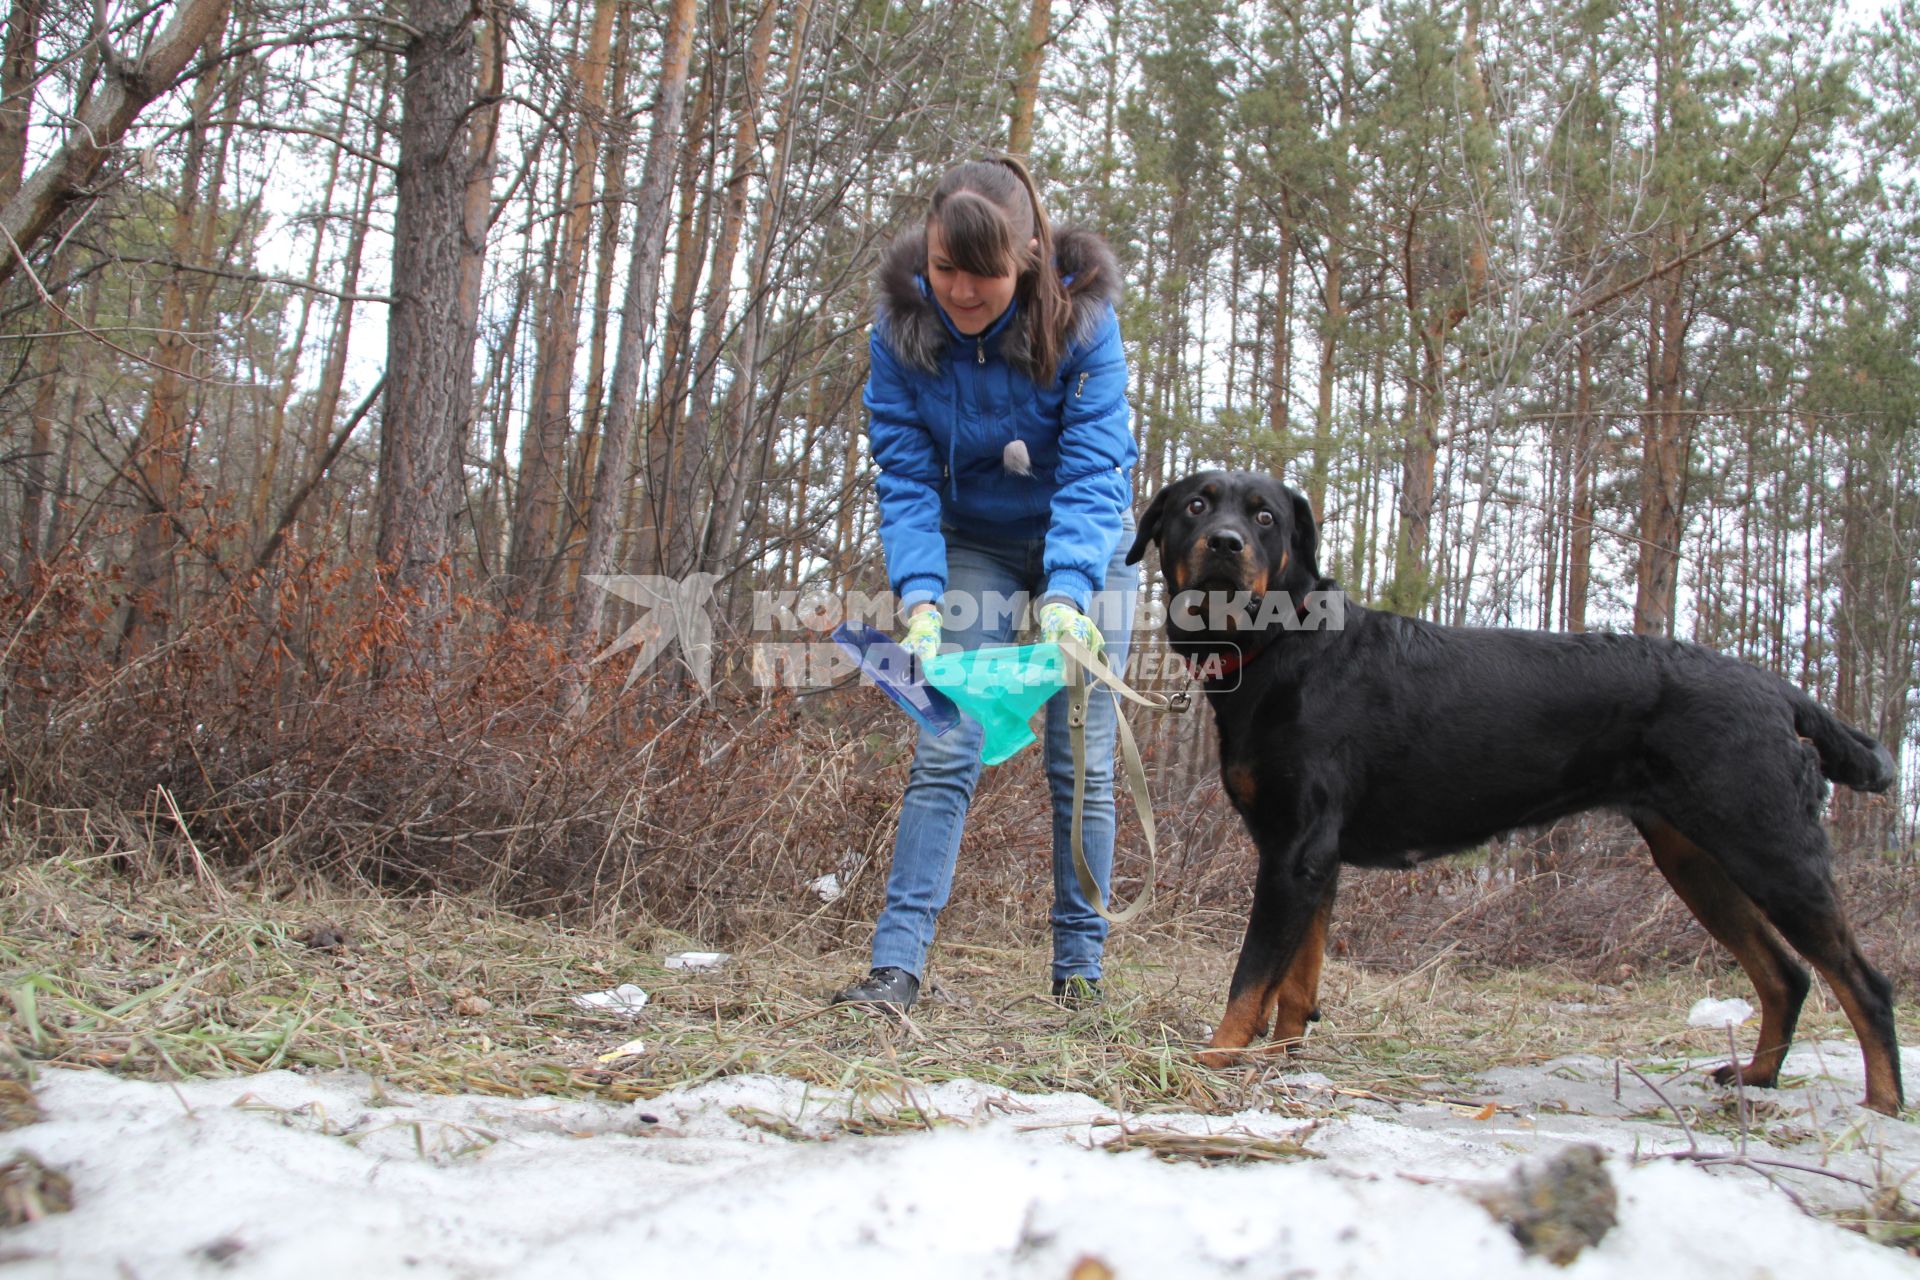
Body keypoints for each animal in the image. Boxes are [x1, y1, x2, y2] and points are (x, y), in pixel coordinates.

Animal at [1128, 468, 1896, 1113]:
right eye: (1196, 505)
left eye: (1264, 517)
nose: (1226, 542)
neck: (1285, 643)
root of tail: (1779, 691)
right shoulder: (1313, 857)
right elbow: (1296, 979)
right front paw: (1282, 1054)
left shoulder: (1296, 852)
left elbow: (1252, 974)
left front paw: (1212, 1058)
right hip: (1696, 860)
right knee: (1786, 975)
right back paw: (1757, 1080)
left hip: (1771, 848)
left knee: (1863, 983)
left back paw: (1882, 1105)